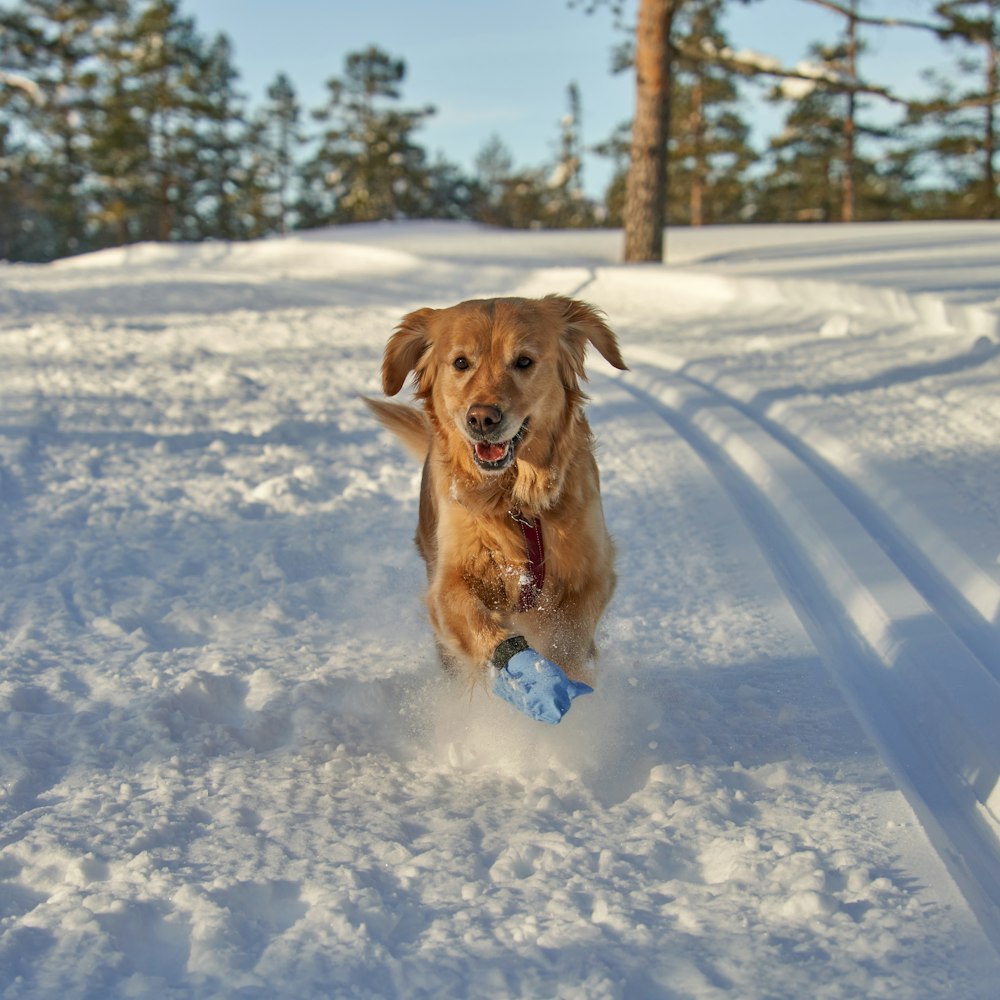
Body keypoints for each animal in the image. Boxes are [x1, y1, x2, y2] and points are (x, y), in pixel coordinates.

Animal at [366, 292, 624, 724]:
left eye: (523, 361)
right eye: (460, 363)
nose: (482, 418)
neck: (516, 502)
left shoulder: (593, 571)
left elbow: (569, 638)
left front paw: (558, 677)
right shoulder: (448, 583)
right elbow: (477, 622)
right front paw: (528, 674)